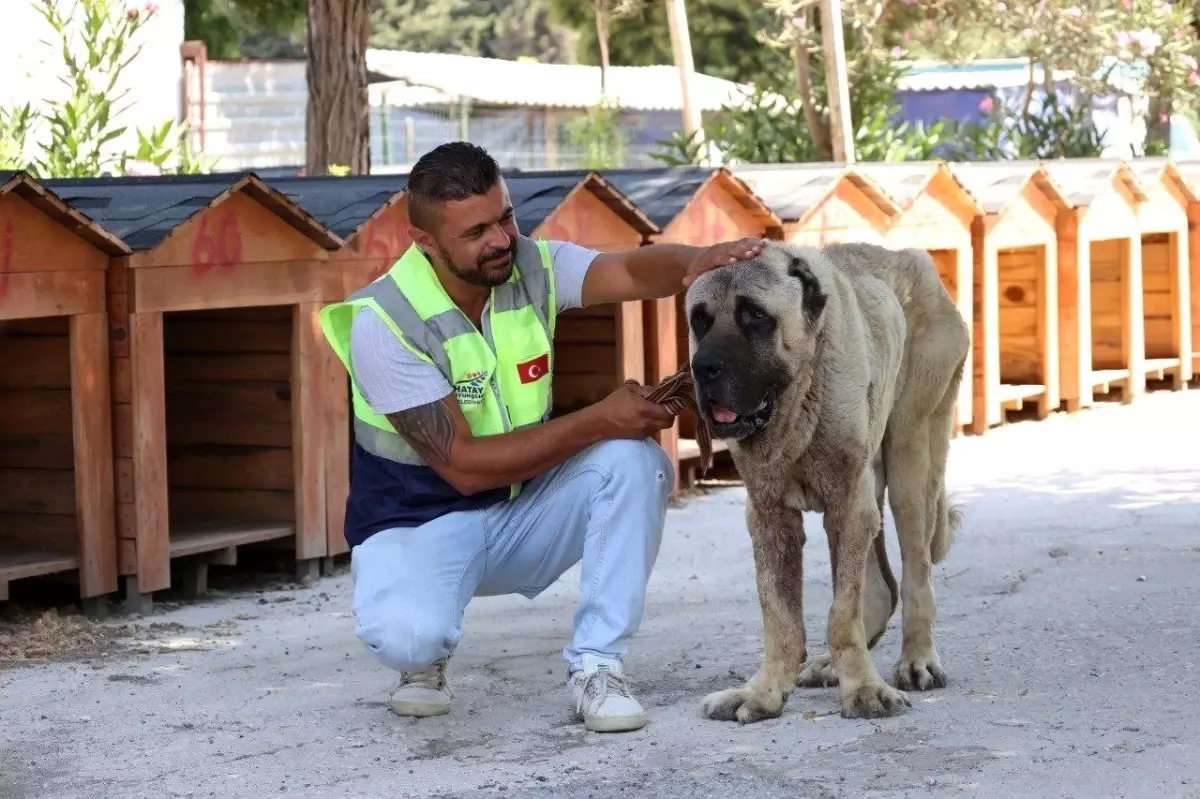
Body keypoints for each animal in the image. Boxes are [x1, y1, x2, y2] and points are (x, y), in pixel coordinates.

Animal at [691, 239, 969, 719]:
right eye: (699, 320)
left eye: (755, 316)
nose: (702, 367)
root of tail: (913, 257)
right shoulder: (770, 516)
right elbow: (779, 611)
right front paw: (763, 692)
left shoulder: (847, 505)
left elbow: (842, 611)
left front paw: (864, 690)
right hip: (871, 483)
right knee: (881, 587)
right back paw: (830, 665)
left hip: (909, 459)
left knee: (916, 573)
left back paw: (916, 659)